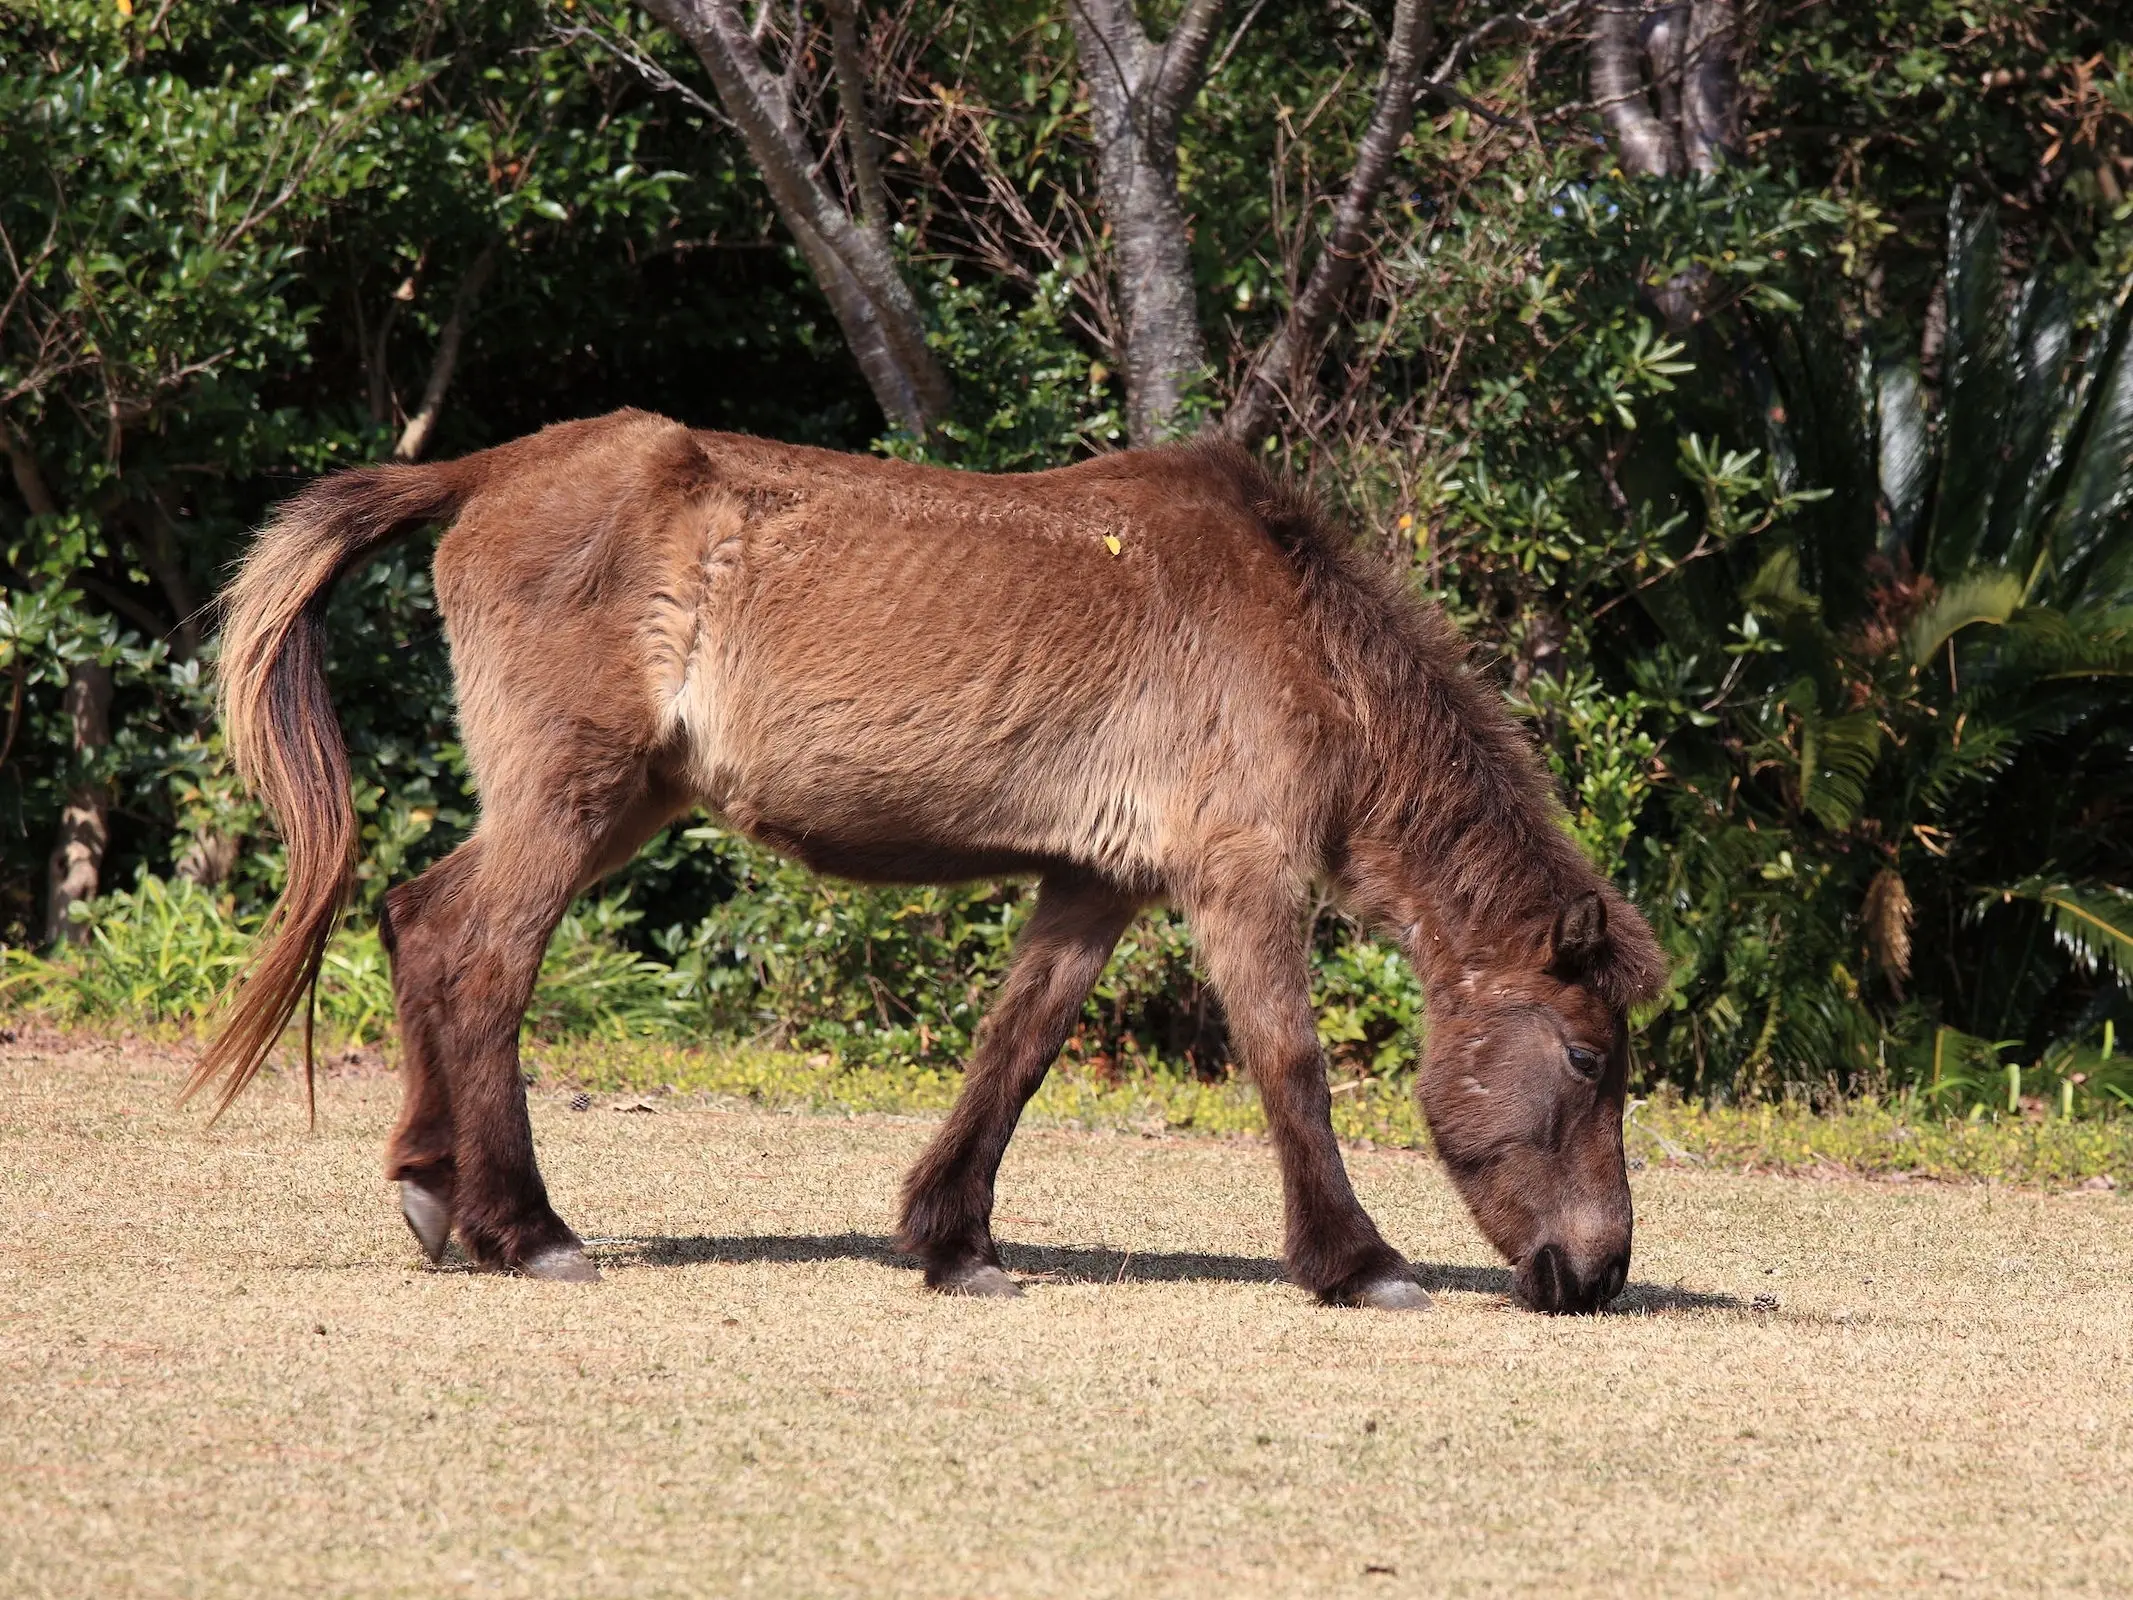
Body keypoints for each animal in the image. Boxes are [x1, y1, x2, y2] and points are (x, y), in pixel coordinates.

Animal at [191, 409, 1663, 1314]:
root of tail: (485, 471)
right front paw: (1356, 1262)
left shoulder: (1098, 882)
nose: (1595, 1275)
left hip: (616, 804)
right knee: (480, 958)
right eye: (1589, 1059)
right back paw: (529, 1228)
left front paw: (953, 1242)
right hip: (572, 797)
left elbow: (1013, 1052)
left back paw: (435, 1189)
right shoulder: (1236, 876)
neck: (1295, 632)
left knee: (420, 921)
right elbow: (1288, 1064)